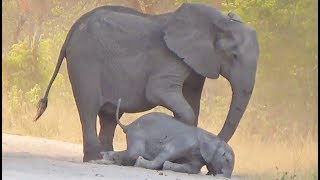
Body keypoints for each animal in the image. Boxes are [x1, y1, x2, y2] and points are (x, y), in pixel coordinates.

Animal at [35, 3, 260, 162]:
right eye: (234, 56)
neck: (219, 22)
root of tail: (71, 31)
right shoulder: (171, 58)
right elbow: (159, 92)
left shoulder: (197, 63)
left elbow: (192, 100)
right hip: (84, 60)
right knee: (89, 108)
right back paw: (94, 159)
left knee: (108, 115)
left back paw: (108, 156)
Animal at [95, 99, 235, 178]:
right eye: (227, 159)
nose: (222, 176)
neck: (211, 138)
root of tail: (128, 126)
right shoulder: (184, 142)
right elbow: (167, 152)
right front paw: (141, 163)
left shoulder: (198, 157)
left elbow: (192, 168)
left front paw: (168, 166)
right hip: (138, 134)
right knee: (135, 152)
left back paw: (106, 156)